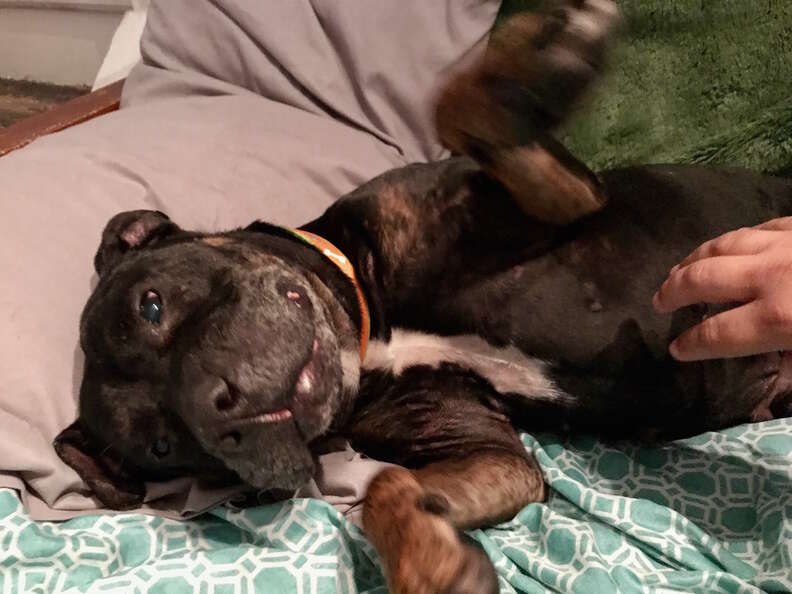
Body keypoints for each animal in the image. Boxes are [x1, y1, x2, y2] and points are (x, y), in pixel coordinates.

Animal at [52, 2, 792, 588]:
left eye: (151, 304)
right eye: (163, 447)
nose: (220, 419)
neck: (369, 325)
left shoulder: (559, 201)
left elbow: (457, 111)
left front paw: (539, 59)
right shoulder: (489, 454)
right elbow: (384, 488)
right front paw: (432, 562)